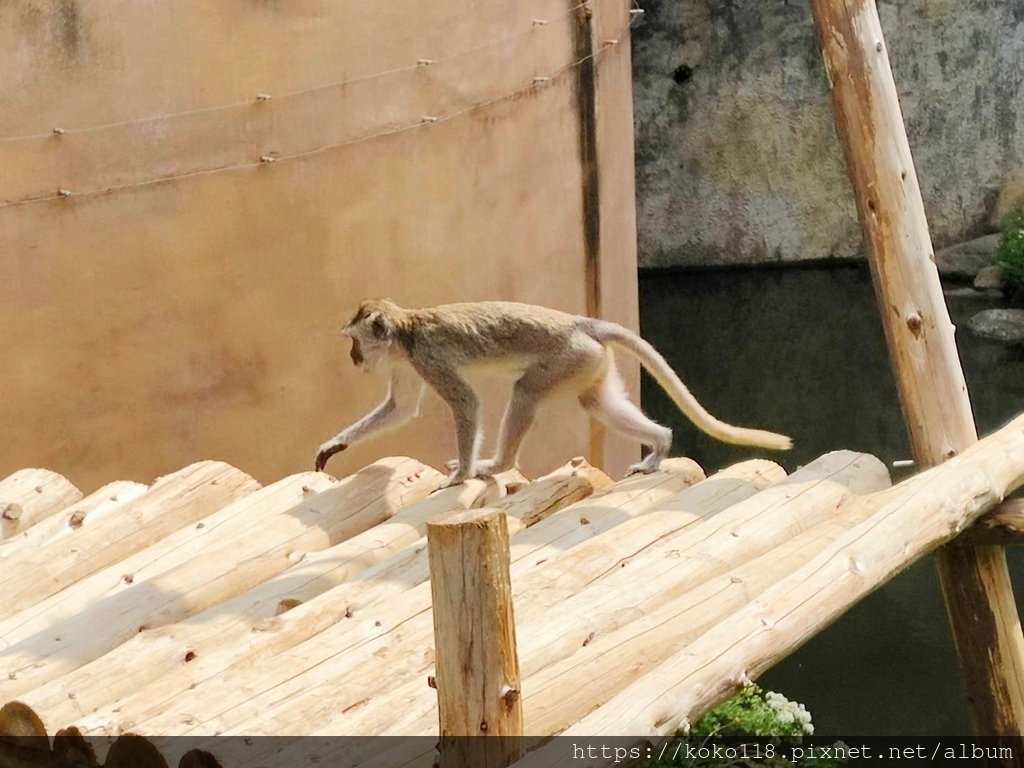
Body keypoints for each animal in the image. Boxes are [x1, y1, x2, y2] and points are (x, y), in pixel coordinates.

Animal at [311, 301, 790, 487]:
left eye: (355, 342)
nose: (353, 358)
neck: (407, 332)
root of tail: (582, 323)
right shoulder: (406, 363)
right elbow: (402, 407)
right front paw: (334, 445)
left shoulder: (427, 357)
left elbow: (466, 403)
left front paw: (462, 474)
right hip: (590, 361)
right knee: (595, 401)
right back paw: (660, 445)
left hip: (567, 357)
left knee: (524, 392)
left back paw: (497, 464)